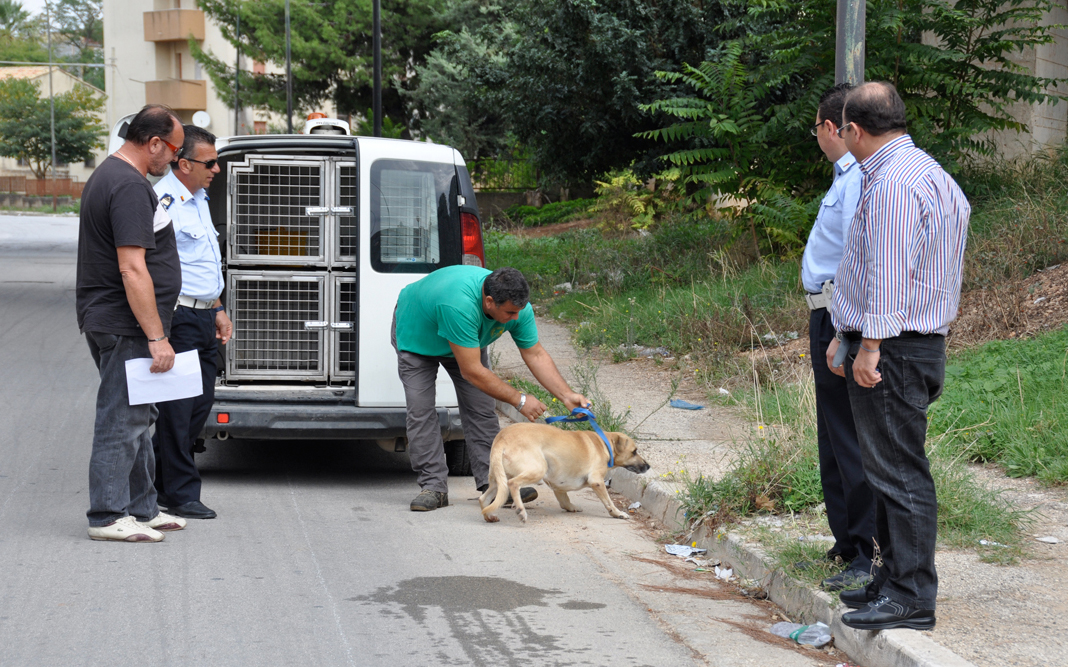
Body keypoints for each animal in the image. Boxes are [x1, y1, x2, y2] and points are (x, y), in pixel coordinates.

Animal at [478, 424, 645, 522]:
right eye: (634, 452)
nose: (648, 466)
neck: (605, 443)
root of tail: (502, 438)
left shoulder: (558, 486)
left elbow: (565, 501)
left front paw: (571, 507)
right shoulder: (597, 482)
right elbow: (609, 502)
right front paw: (618, 513)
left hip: (498, 480)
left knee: (483, 499)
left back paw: (489, 516)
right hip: (537, 470)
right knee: (513, 484)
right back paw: (521, 510)